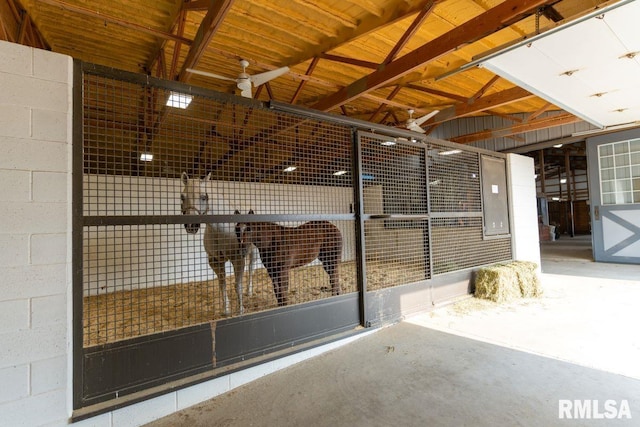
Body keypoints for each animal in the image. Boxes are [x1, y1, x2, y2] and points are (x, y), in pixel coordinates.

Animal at [180, 172, 255, 316]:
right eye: (182, 197)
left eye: (204, 197)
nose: (191, 226)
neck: (220, 228)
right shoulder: (215, 261)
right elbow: (222, 284)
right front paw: (225, 310)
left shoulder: (238, 260)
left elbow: (237, 285)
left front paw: (240, 310)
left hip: (253, 253)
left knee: (251, 269)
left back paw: (249, 292)